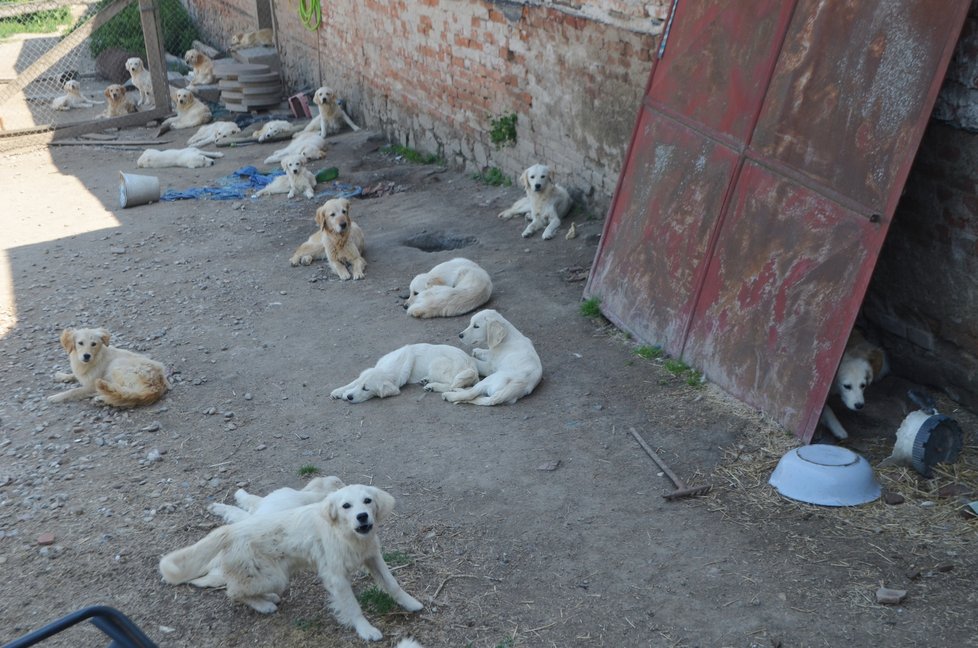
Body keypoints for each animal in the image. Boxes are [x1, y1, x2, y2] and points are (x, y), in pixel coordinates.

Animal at [158, 484, 422, 640]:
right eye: (346, 506)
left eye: (367, 501)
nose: (362, 516)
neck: (347, 535)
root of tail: (230, 530)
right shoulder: (336, 577)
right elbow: (352, 606)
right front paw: (365, 629)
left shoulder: (373, 557)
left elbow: (392, 584)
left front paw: (410, 603)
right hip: (274, 576)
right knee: (233, 591)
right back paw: (264, 604)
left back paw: (267, 598)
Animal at [330, 342, 478, 402]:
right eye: (361, 386)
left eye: (366, 389)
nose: (350, 397)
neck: (387, 368)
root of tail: (472, 365)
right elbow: (352, 382)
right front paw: (339, 392)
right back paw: (426, 380)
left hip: (437, 363)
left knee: (451, 385)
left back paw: (432, 386)